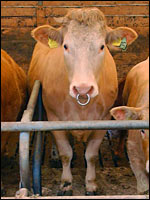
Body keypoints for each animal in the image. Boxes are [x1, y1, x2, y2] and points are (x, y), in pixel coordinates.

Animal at [27, 8, 137, 195]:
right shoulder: (55, 117)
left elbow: (91, 155)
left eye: (102, 46)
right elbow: (65, 152)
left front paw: (91, 184)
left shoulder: (103, 120)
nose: (83, 88)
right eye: (65, 46)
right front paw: (66, 183)